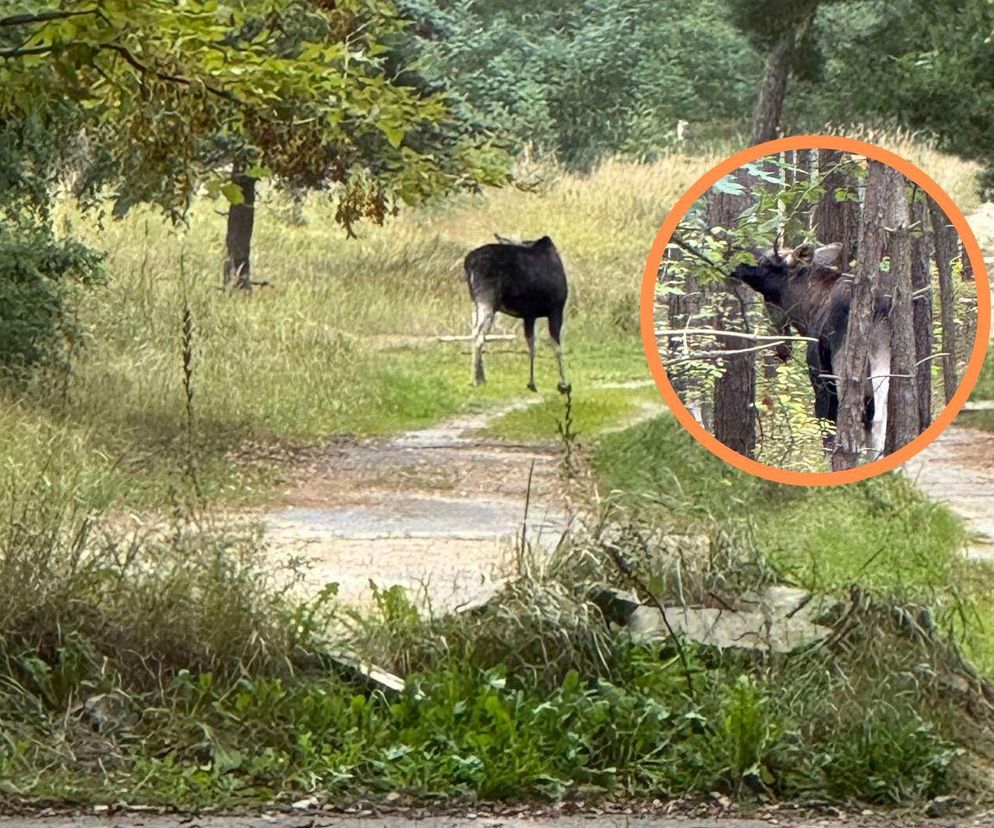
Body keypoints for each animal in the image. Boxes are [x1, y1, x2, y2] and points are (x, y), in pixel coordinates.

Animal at [462, 233, 568, 394]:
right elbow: (556, 346)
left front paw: (532, 383)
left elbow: (532, 345)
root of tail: (469, 263)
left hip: (475, 302)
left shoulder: (529, 315)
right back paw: (475, 379)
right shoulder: (556, 309)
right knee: (479, 336)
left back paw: (480, 377)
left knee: (474, 333)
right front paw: (563, 383)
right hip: (487, 299)